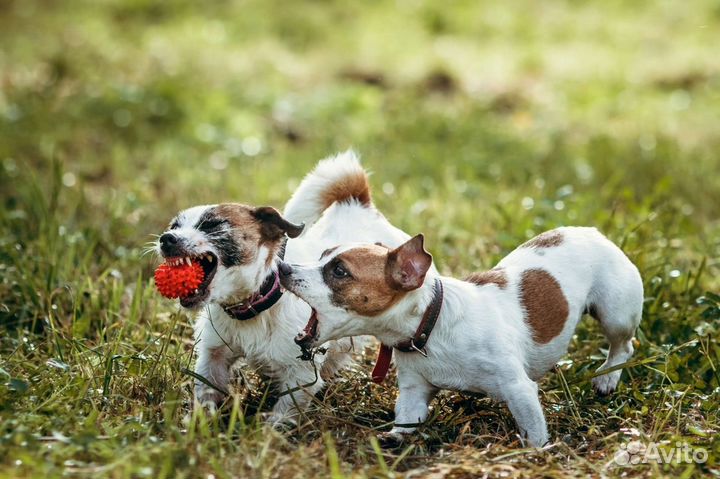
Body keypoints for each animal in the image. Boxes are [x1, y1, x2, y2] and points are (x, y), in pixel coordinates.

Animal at [153, 151, 422, 424]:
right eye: (174, 226)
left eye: (212, 225)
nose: (166, 239)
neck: (257, 302)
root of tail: (358, 204)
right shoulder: (213, 357)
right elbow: (206, 392)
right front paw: (198, 425)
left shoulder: (300, 375)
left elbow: (284, 411)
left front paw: (269, 432)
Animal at [278, 229, 644, 446]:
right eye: (322, 255)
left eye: (339, 271)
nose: (283, 267)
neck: (432, 323)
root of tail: (592, 232)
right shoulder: (414, 393)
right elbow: (406, 421)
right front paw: (394, 439)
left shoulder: (519, 390)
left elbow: (534, 433)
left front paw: (537, 454)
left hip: (616, 312)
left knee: (623, 345)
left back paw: (607, 378)